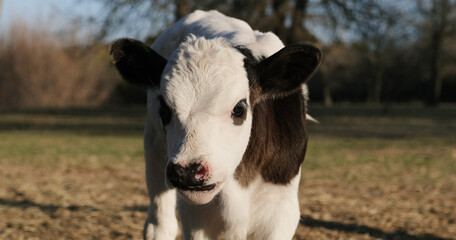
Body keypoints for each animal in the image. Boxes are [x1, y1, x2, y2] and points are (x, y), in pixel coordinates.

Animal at [110, 9, 320, 240]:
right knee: (160, 221)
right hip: (154, 148)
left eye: (239, 108)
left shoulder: (280, 209)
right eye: (164, 109)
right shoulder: (195, 216)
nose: (187, 171)